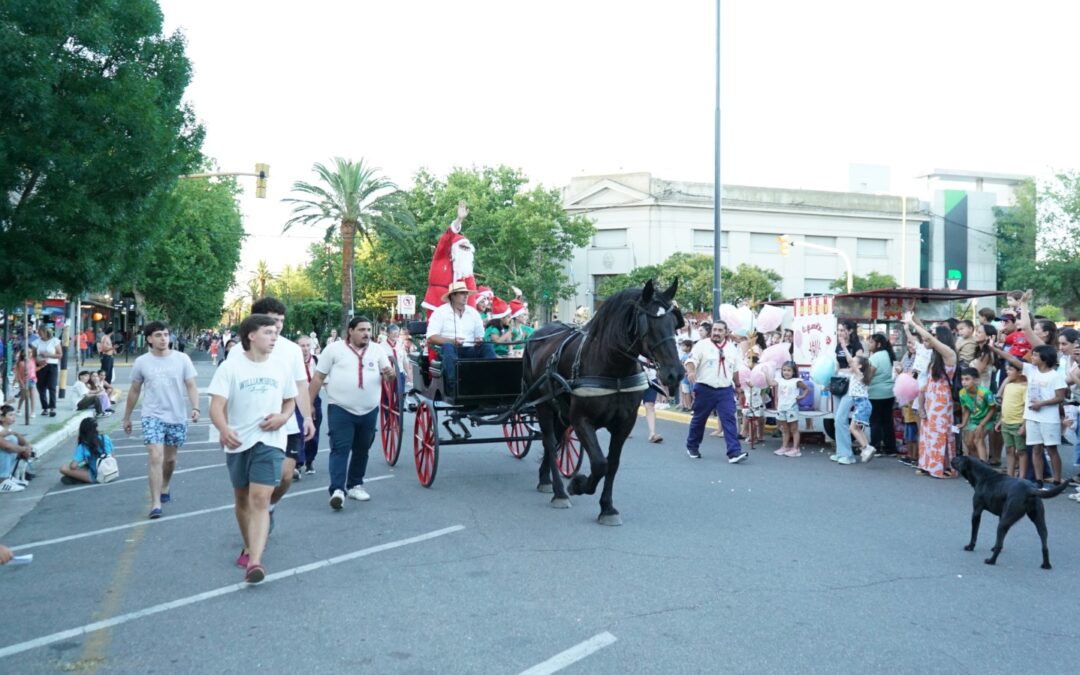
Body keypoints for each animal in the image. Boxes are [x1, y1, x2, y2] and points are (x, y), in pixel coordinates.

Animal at [522, 276, 682, 524]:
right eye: (649, 325)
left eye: (674, 323)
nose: (675, 374)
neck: (613, 369)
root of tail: (539, 332)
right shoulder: (581, 421)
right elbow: (599, 463)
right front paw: (578, 485)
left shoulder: (624, 424)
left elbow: (612, 464)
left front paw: (607, 507)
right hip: (542, 406)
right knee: (549, 440)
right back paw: (559, 492)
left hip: (560, 412)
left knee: (557, 441)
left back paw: (545, 478)